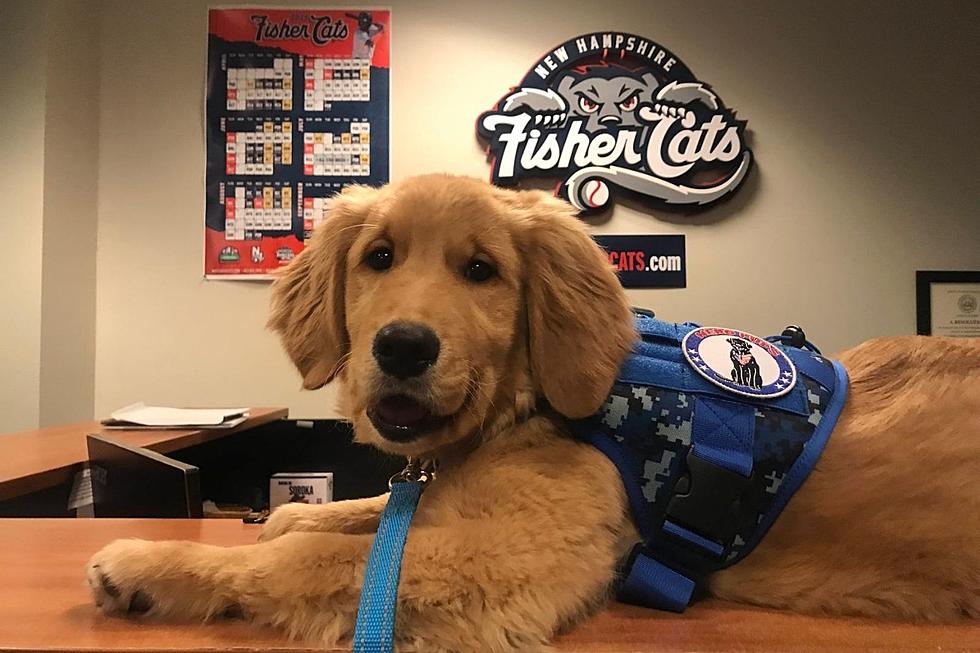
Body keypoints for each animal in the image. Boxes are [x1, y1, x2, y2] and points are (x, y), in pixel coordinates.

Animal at [86, 173, 980, 648]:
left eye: (481, 270)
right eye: (380, 257)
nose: (402, 346)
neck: (520, 407)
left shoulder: (512, 557)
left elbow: (314, 559)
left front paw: (147, 563)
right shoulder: (443, 502)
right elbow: (356, 514)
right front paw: (290, 514)